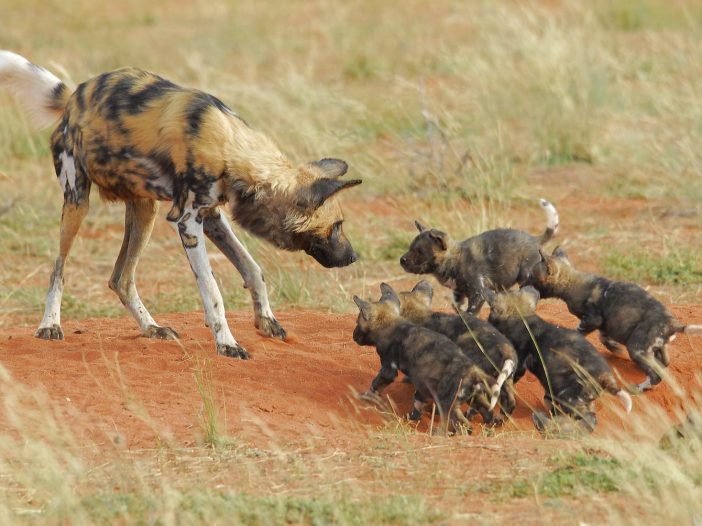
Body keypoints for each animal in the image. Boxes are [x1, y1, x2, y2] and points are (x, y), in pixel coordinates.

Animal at [0, 50, 364, 358]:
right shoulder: (188, 222)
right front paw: (227, 343)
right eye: (336, 227)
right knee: (58, 269)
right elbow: (213, 291)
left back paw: (152, 328)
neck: (232, 147)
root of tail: (74, 97)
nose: (354, 257)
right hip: (77, 202)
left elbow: (253, 269)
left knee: (121, 278)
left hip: (144, 211)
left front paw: (266, 321)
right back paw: (49, 325)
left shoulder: (213, 215)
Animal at [402, 198, 560, 314]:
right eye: (410, 248)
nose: (401, 260)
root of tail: (534, 239)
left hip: (525, 276)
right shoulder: (458, 293)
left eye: (419, 251)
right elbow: (457, 308)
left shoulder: (478, 293)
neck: (453, 260)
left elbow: (470, 312)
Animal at [486, 286, 636, 432]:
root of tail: (606, 376)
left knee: (588, 419)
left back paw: (545, 425)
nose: (487, 323)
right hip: (572, 395)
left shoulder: (518, 367)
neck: (520, 317)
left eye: (491, 314)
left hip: (569, 398)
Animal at [528, 248, 702, 392]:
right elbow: (603, 338)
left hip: (636, 348)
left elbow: (579, 332)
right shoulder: (604, 325)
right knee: (664, 364)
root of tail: (673, 323)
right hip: (657, 346)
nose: (522, 284)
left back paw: (639, 388)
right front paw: (614, 348)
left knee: (656, 375)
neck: (571, 283)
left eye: (531, 277)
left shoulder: (592, 319)